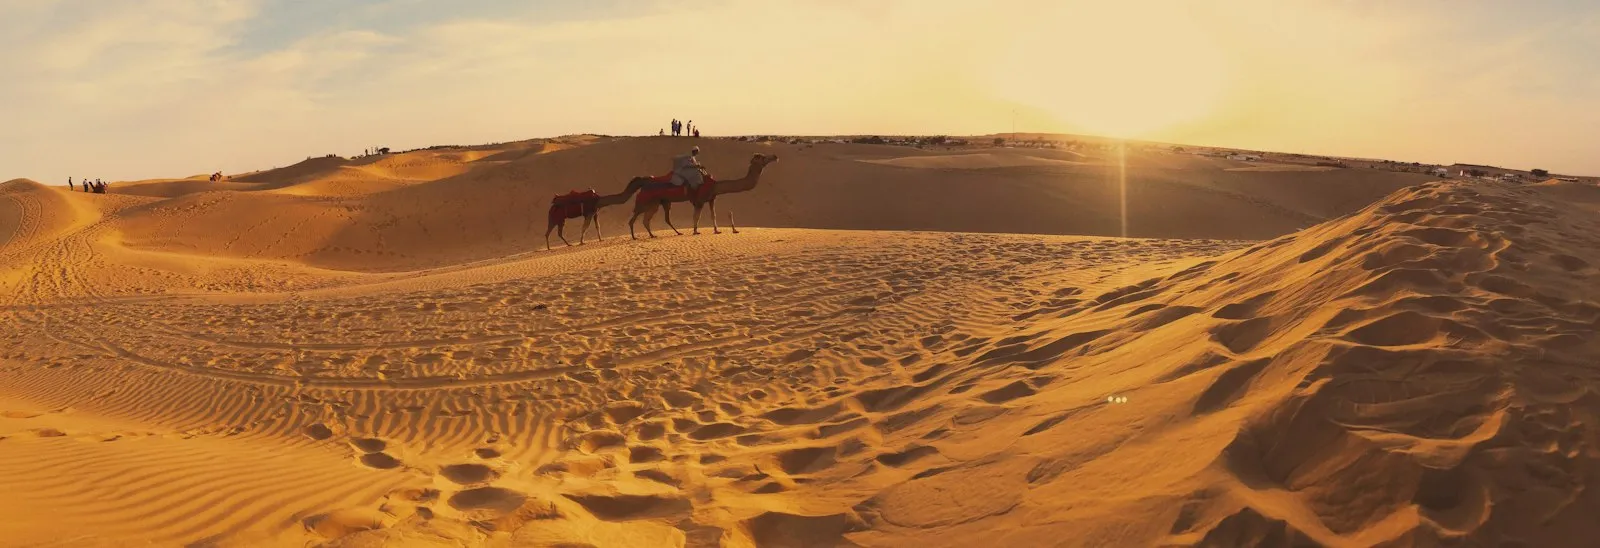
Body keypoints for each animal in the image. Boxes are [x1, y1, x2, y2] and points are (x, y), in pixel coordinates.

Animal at [628, 153, 779, 239]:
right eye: (762, 157)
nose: (775, 156)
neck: (715, 184)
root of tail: (644, 183)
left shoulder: (712, 198)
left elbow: (713, 215)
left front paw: (717, 230)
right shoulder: (699, 200)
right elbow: (697, 216)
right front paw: (695, 231)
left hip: (657, 202)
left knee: (648, 219)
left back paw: (656, 234)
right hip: (647, 201)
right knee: (637, 217)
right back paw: (637, 237)